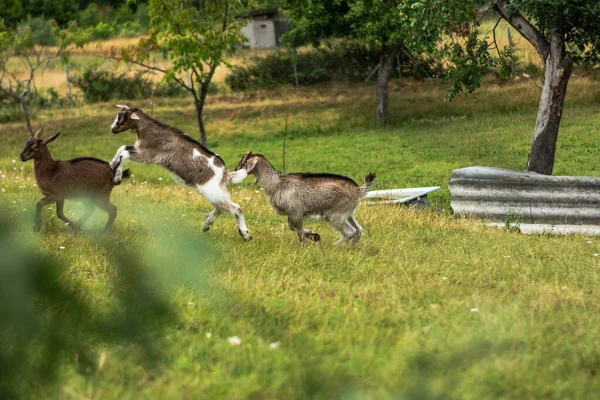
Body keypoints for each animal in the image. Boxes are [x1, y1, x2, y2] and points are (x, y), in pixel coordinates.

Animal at [109, 104, 252, 241]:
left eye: (122, 118)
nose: (112, 129)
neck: (148, 129)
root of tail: (225, 173)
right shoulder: (140, 149)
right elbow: (122, 148)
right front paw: (112, 164)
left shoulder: (148, 154)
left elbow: (124, 153)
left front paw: (117, 177)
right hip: (216, 189)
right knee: (221, 206)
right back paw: (206, 224)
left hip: (211, 189)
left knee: (235, 208)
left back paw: (245, 234)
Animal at [234, 152, 376, 245]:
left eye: (243, 162)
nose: (235, 170)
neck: (276, 183)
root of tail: (359, 190)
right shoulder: (292, 214)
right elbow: (292, 227)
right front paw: (313, 236)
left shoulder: (296, 212)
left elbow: (297, 230)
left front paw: (306, 243)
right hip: (349, 213)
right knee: (358, 230)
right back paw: (352, 247)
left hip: (336, 215)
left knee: (350, 232)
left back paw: (335, 246)